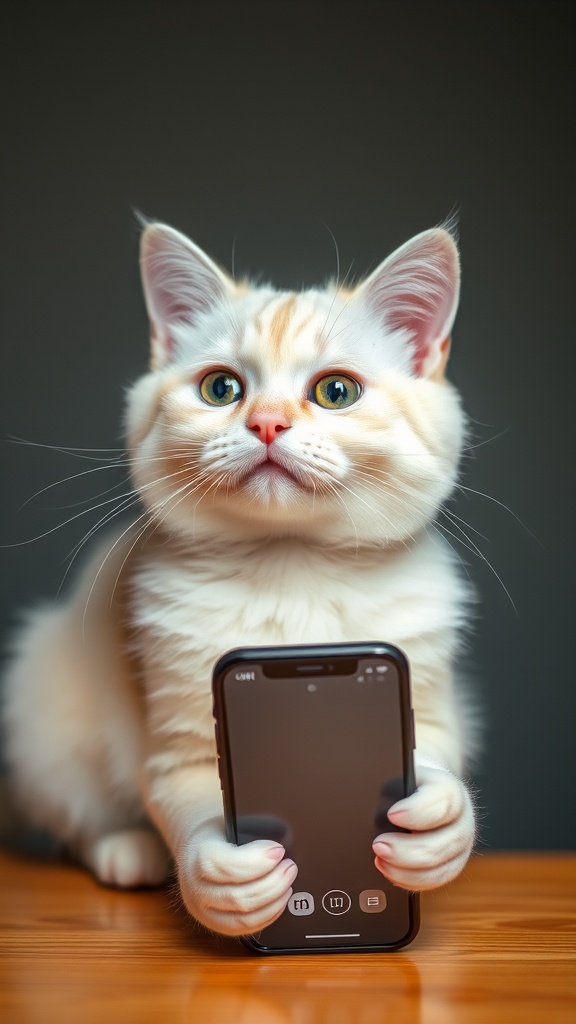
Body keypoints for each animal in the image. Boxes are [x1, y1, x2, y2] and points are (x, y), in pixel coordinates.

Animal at [2, 222, 473, 937]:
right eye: (221, 389)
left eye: (337, 392)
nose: (266, 423)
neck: (294, 566)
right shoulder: (180, 734)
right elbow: (191, 801)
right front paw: (224, 882)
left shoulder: (421, 683)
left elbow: (436, 756)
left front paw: (438, 828)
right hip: (45, 714)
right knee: (77, 818)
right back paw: (126, 851)